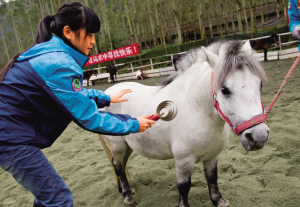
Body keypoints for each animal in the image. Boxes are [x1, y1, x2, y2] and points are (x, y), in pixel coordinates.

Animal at [98, 40, 270, 207]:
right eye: (224, 89)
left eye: (260, 85)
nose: (258, 137)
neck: (196, 108)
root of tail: (107, 94)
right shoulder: (184, 161)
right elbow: (183, 186)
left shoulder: (213, 156)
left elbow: (212, 178)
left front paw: (219, 201)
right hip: (118, 146)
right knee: (118, 167)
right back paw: (128, 196)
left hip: (127, 146)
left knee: (120, 165)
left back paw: (125, 190)